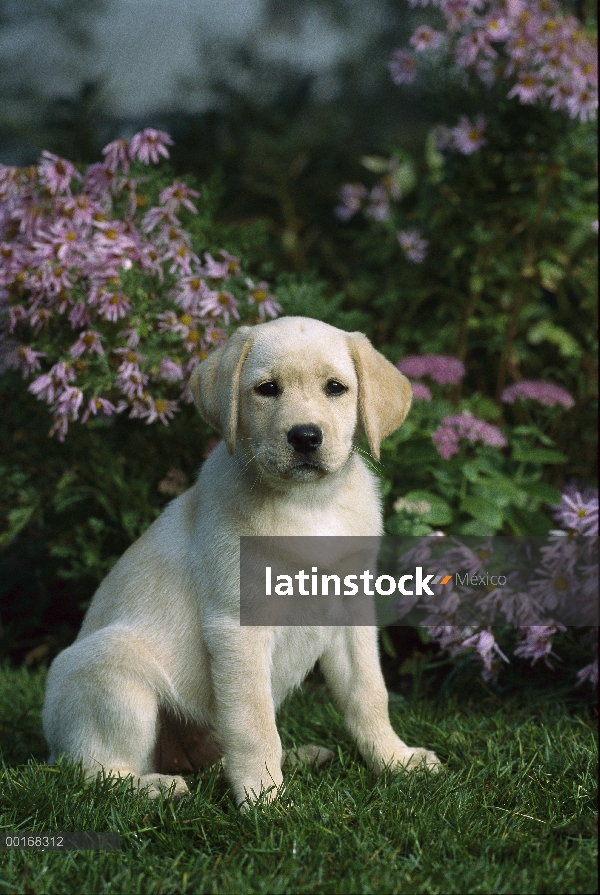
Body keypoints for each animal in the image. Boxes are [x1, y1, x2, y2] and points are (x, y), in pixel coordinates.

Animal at [41, 318, 436, 808]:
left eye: (335, 388)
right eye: (267, 389)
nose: (305, 436)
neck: (309, 505)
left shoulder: (351, 616)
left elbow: (369, 695)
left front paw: (395, 760)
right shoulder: (238, 629)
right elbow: (254, 723)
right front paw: (265, 801)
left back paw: (298, 757)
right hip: (116, 676)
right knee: (92, 771)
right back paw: (157, 786)